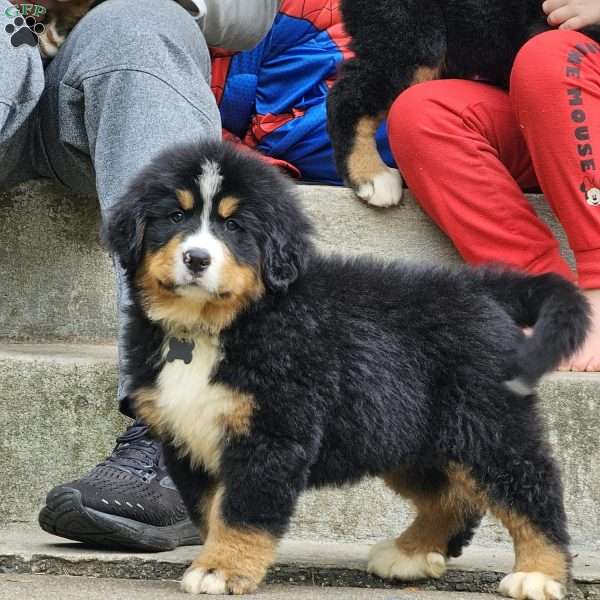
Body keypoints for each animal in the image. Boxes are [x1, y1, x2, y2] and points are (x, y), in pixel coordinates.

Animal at [105, 142, 588, 600]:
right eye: (175, 216)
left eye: (235, 226)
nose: (197, 259)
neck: (215, 325)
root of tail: (481, 286)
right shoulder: (184, 439)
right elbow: (210, 511)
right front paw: (214, 559)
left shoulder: (272, 433)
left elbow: (243, 511)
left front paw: (222, 570)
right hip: (404, 434)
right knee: (453, 497)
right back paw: (410, 554)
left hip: (488, 422)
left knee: (532, 489)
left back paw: (538, 575)